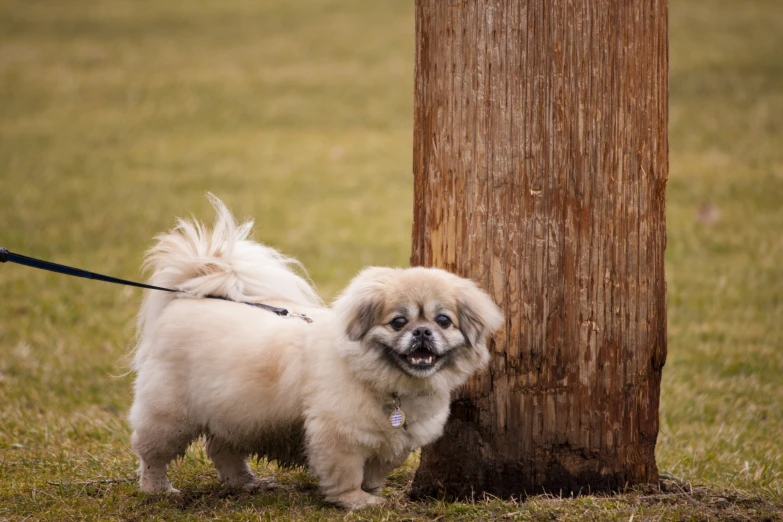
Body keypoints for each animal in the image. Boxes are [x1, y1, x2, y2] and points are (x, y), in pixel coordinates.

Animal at [130, 195, 502, 508]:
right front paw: (357, 502)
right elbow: (348, 474)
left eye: (443, 321)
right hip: (170, 417)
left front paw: (372, 495)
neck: (392, 384)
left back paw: (246, 483)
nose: (423, 331)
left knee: (223, 451)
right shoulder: (338, 436)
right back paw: (158, 489)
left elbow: (374, 474)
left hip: (237, 412)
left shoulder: (390, 443)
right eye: (398, 322)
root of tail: (191, 294)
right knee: (153, 455)